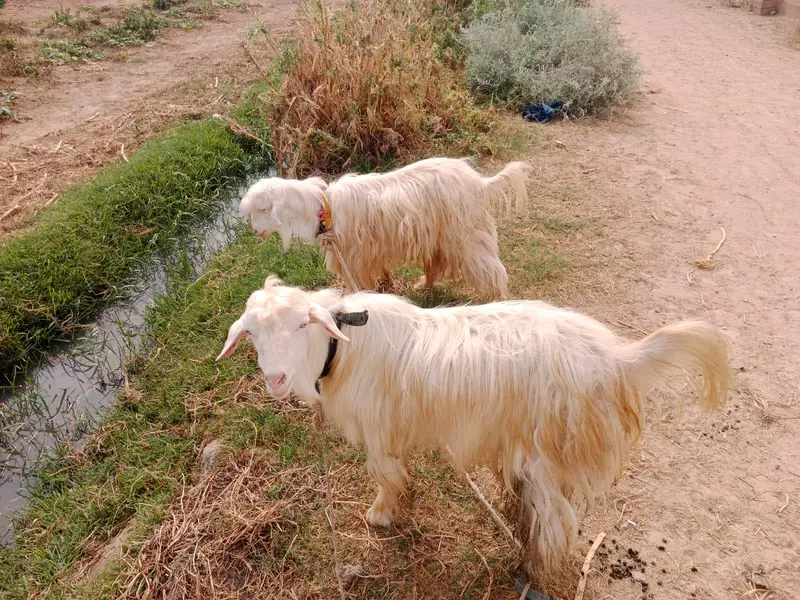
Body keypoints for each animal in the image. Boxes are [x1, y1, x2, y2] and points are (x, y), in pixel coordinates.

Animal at [217, 277, 730, 580]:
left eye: (301, 324)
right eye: (252, 333)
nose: (275, 379)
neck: (342, 348)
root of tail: (617, 358)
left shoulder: (379, 430)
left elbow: (384, 474)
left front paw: (381, 515)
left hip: (547, 447)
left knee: (555, 523)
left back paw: (532, 567)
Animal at [238, 157, 530, 299]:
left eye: (261, 209)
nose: (255, 231)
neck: (324, 208)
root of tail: (480, 183)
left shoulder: (354, 259)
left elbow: (358, 286)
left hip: (467, 235)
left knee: (492, 270)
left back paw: (499, 299)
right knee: (435, 264)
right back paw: (422, 285)